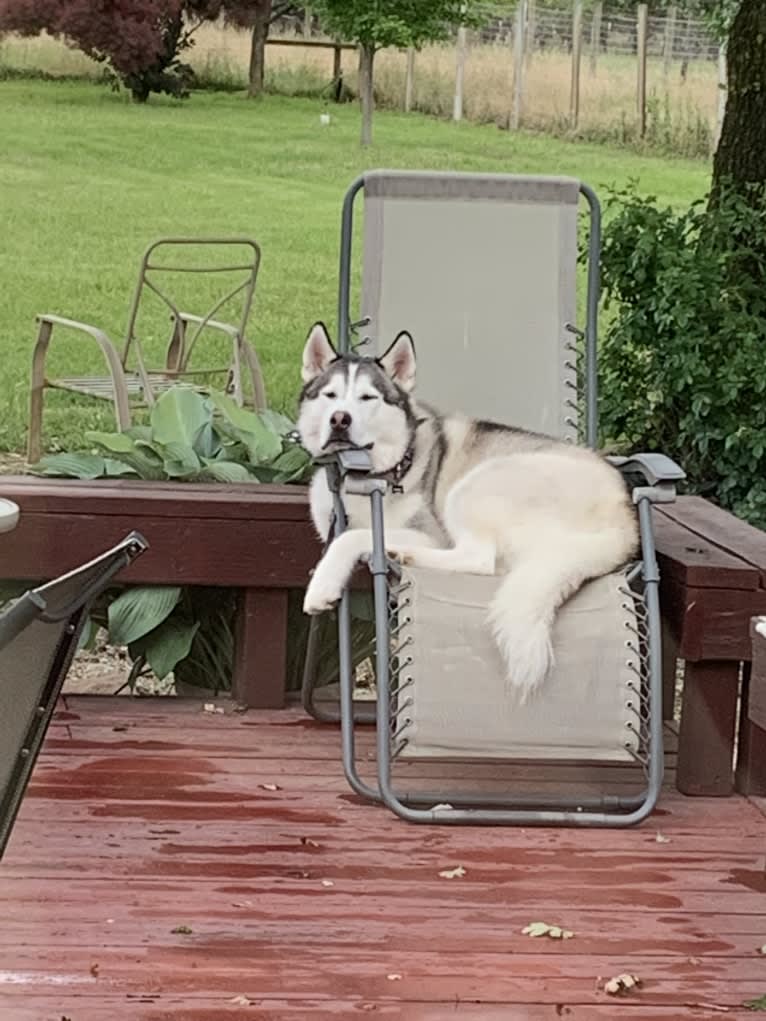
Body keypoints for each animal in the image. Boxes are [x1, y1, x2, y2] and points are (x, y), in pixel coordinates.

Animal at [296, 322, 637, 698]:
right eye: (330, 395)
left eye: (368, 398)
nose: (339, 420)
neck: (368, 478)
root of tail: (623, 514)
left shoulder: (431, 533)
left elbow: (352, 536)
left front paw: (322, 586)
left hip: (474, 486)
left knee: (481, 560)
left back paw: (404, 554)